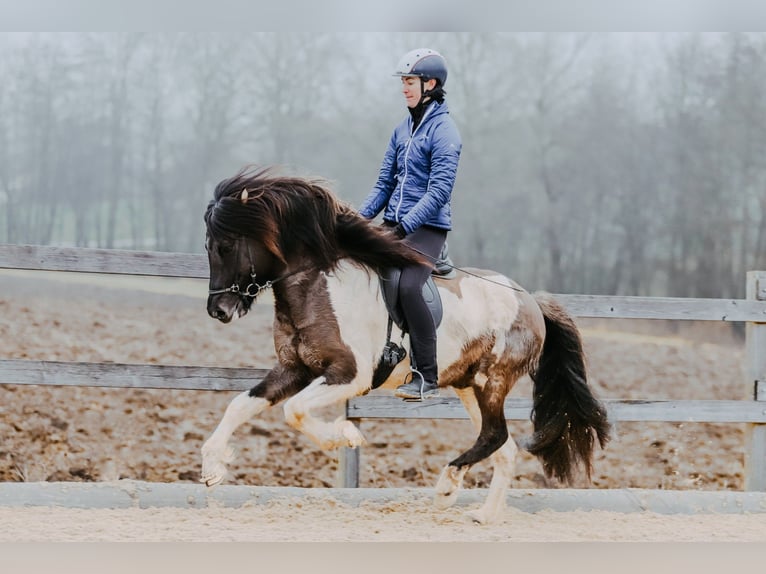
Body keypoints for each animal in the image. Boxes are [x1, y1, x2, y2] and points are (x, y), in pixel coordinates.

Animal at [200, 166, 611, 524]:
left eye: (225, 246)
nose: (218, 310)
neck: (318, 285)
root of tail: (530, 301)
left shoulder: (350, 375)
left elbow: (295, 410)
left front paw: (345, 437)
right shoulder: (294, 369)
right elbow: (241, 405)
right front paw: (212, 468)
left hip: (492, 381)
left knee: (495, 436)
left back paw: (447, 488)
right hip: (468, 386)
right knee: (503, 447)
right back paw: (484, 515)